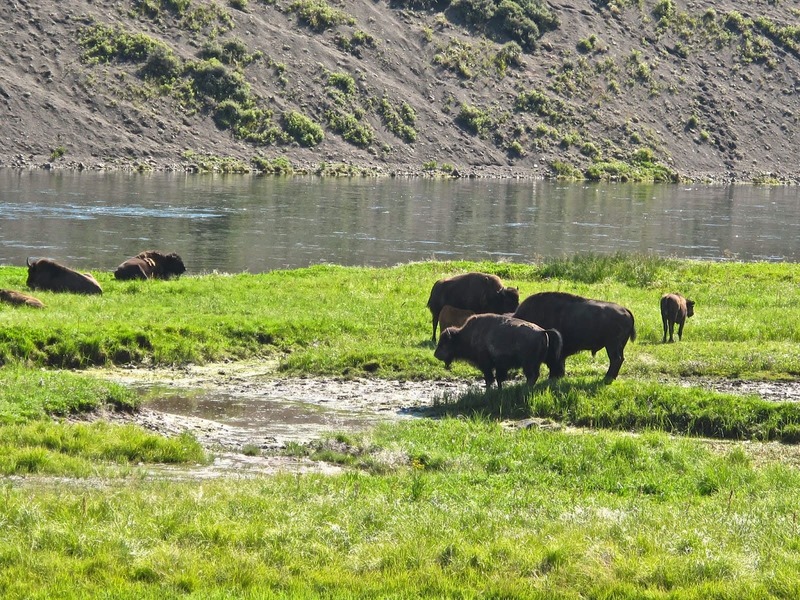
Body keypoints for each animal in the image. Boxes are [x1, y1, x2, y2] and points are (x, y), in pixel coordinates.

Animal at [432, 312, 564, 392]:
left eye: (444, 343)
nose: (436, 354)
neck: (466, 335)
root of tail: (542, 331)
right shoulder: (500, 366)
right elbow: (499, 378)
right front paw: (499, 390)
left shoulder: (486, 364)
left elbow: (489, 378)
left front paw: (488, 391)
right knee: (534, 376)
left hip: (528, 364)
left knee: (532, 376)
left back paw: (525, 389)